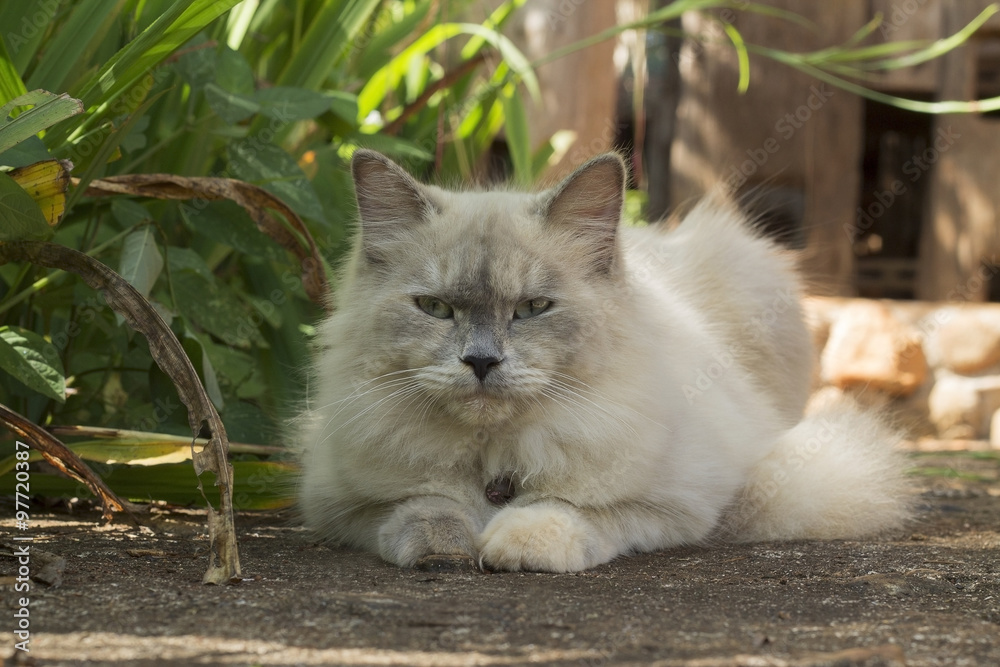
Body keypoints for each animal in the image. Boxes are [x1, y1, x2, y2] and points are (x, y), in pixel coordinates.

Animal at [294, 151, 908, 576]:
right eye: (436, 308)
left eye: (533, 309)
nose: (481, 362)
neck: (494, 460)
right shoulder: (339, 502)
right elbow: (423, 507)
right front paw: (446, 549)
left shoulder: (690, 501)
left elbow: (575, 510)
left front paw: (517, 545)